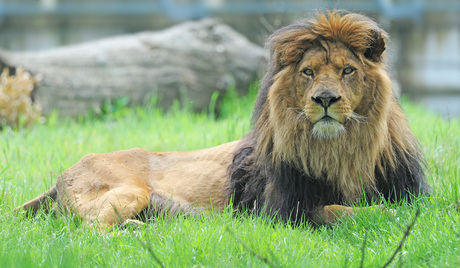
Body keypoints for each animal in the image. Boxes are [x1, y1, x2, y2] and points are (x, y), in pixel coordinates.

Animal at [17, 11, 428, 228]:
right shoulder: (280, 214)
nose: (325, 99)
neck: (343, 152)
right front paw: (377, 213)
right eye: (308, 72)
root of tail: (63, 174)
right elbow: (336, 210)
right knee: (89, 230)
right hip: (129, 190)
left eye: (347, 70)